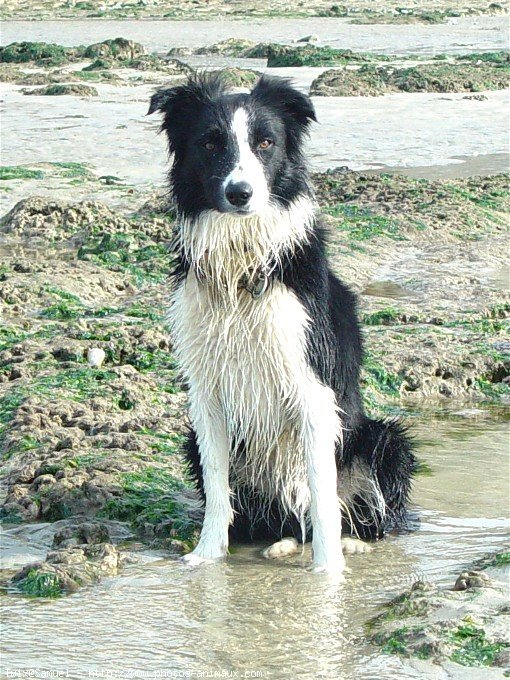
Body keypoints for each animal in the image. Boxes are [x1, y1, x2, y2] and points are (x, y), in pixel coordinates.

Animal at [148, 74, 414, 572]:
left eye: (265, 143)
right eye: (210, 143)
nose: (240, 193)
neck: (241, 265)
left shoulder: (312, 390)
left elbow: (324, 494)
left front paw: (329, 573)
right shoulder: (206, 395)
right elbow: (217, 487)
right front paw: (207, 556)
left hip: (386, 440)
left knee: (360, 509)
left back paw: (352, 544)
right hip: (193, 442)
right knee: (277, 518)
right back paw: (281, 542)